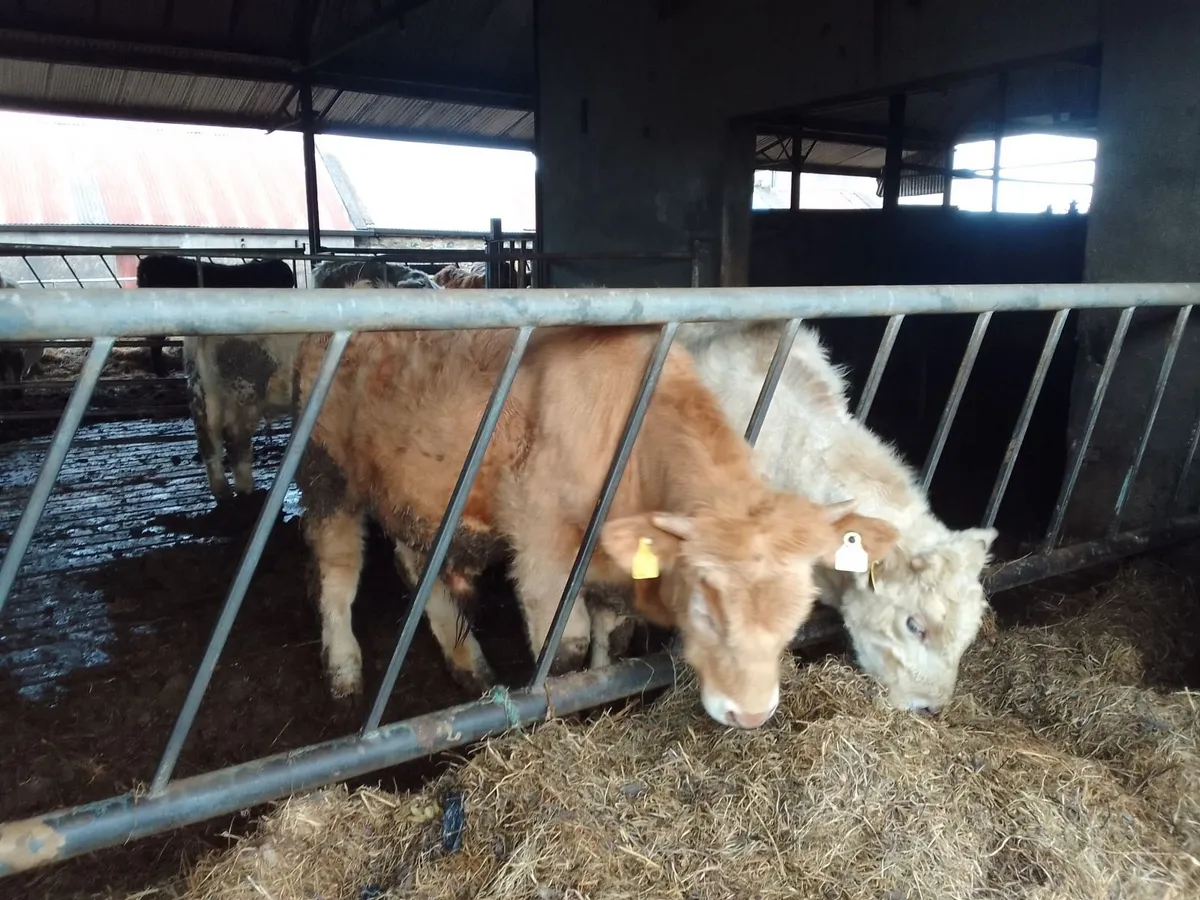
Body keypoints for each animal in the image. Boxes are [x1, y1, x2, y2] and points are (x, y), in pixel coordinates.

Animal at [293, 320, 900, 730]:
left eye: (799, 614)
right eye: (704, 609)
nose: (751, 715)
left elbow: (614, 634)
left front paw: (608, 695)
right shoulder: (541, 546)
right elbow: (567, 645)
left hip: (417, 498)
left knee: (421, 569)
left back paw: (469, 664)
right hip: (327, 475)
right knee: (338, 571)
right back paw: (344, 671)